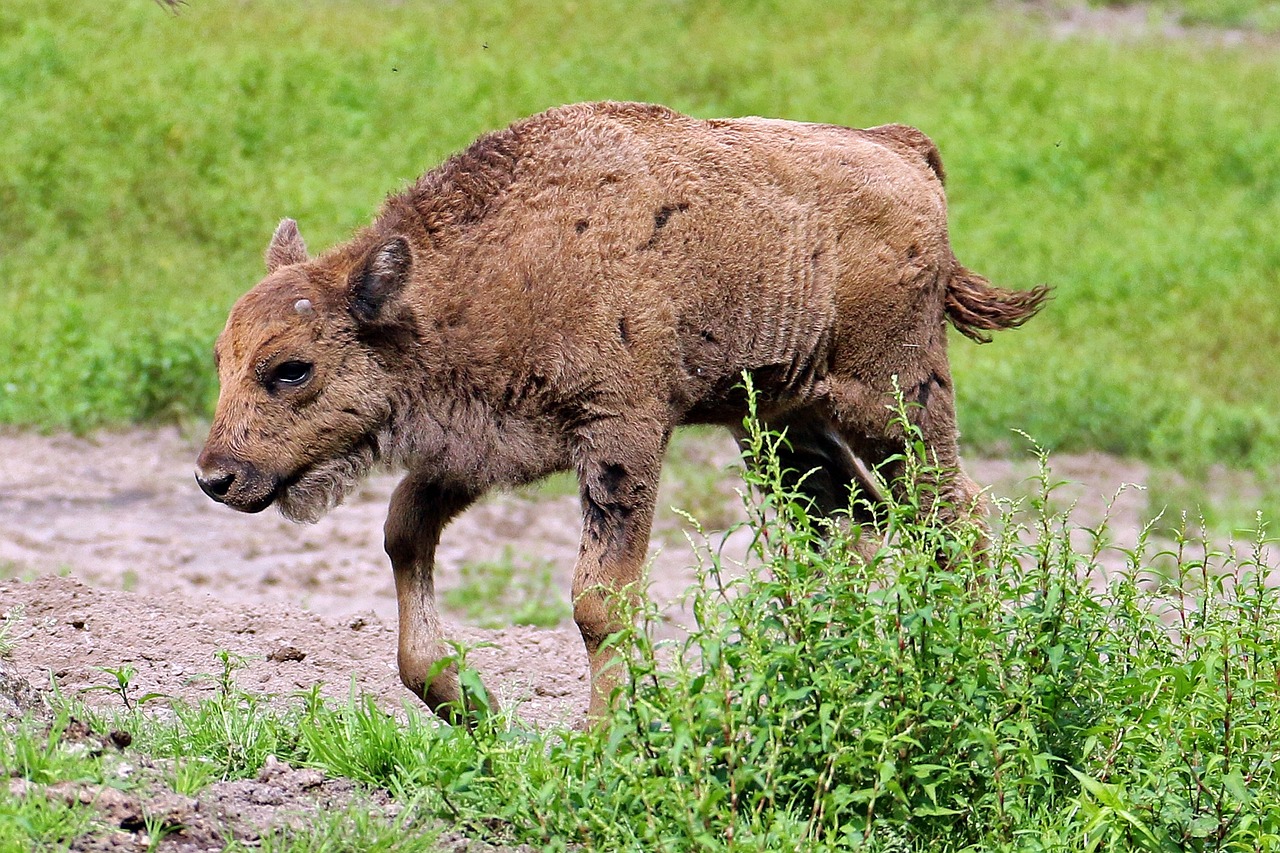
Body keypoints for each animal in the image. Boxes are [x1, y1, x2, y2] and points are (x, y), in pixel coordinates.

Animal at [192, 103, 1049, 722]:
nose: (215, 477)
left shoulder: (621, 438)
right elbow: (405, 533)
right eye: (222, 359)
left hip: (896, 406)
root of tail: (901, 150)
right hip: (787, 431)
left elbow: (600, 600)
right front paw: (469, 704)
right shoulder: (477, 449)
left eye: (290, 368)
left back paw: (969, 663)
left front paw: (603, 738)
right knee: (859, 529)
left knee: (956, 517)